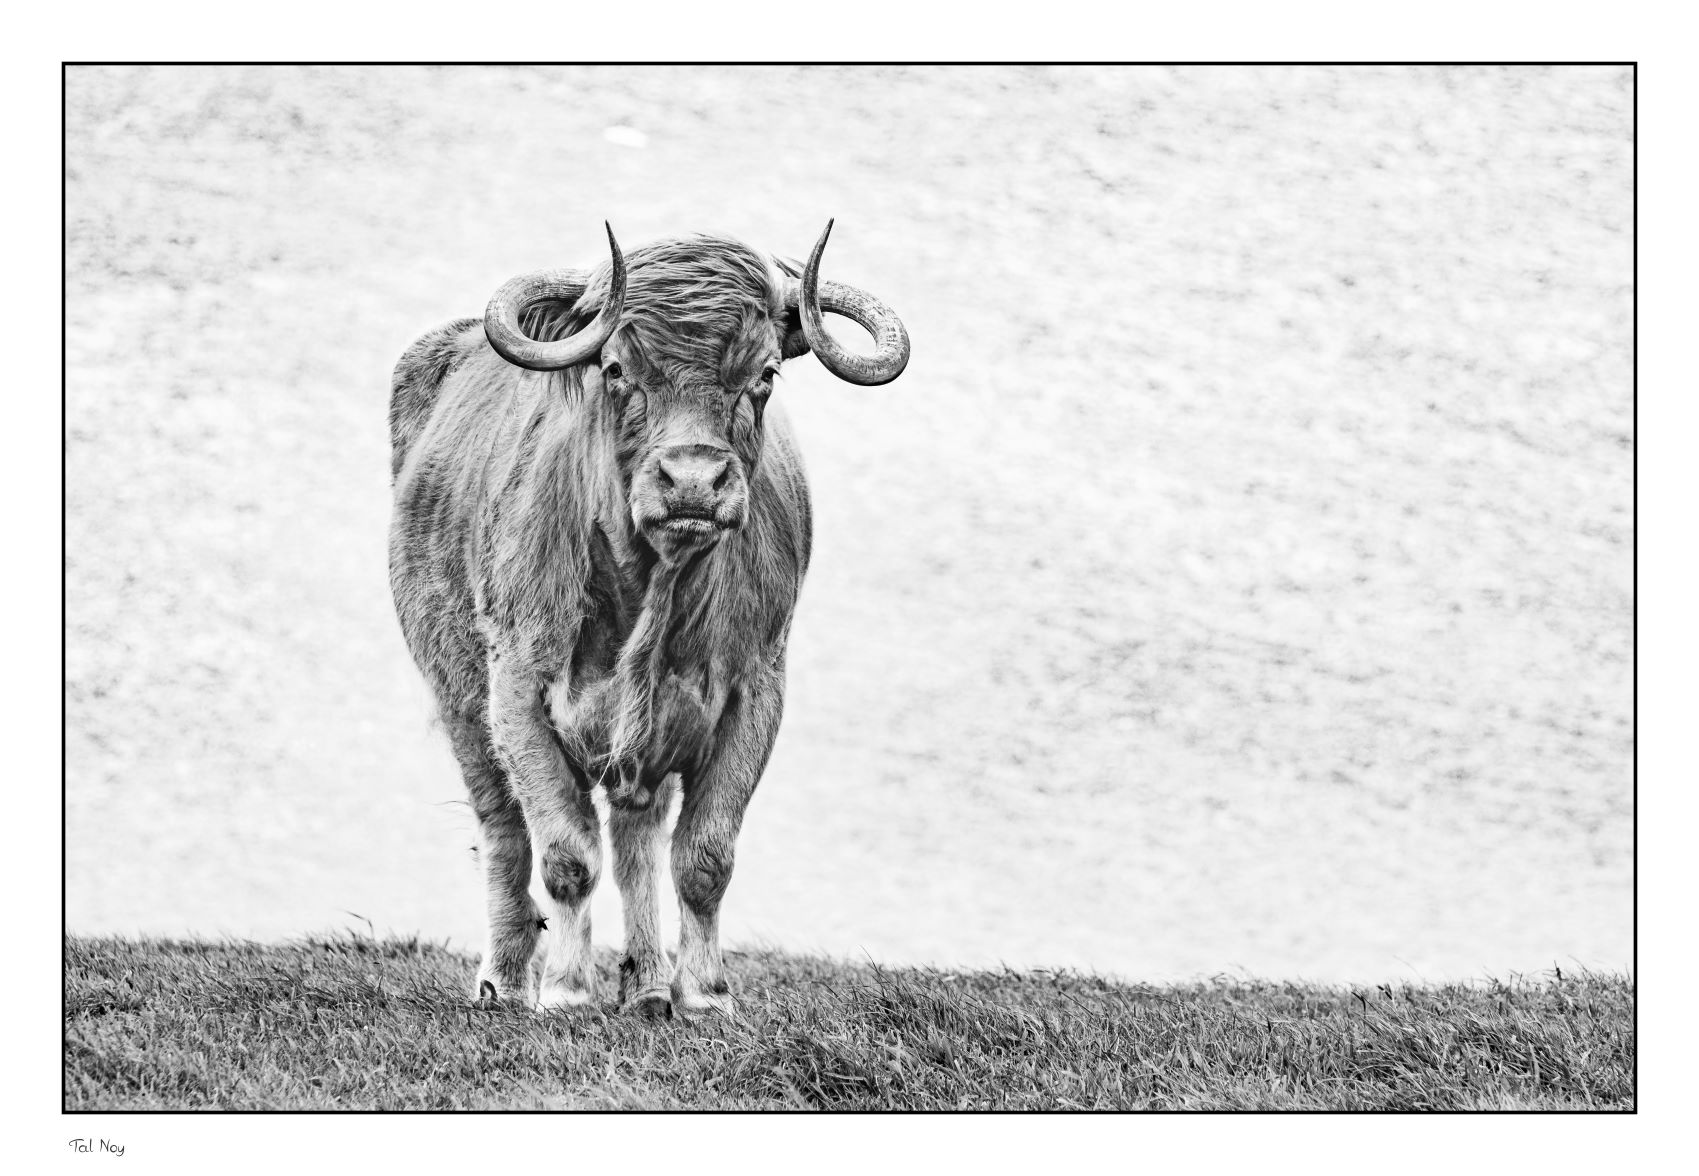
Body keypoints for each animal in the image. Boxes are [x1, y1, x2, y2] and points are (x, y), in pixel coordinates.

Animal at [388, 222, 909, 1018]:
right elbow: (566, 853)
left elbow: (703, 857)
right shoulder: (517, 690)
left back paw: (647, 985)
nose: (693, 480)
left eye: (763, 374)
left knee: (637, 836)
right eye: (614, 369)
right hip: (459, 700)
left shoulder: (755, 693)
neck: (651, 594)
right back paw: (505, 981)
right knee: (504, 832)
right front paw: (568, 988)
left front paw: (705, 994)